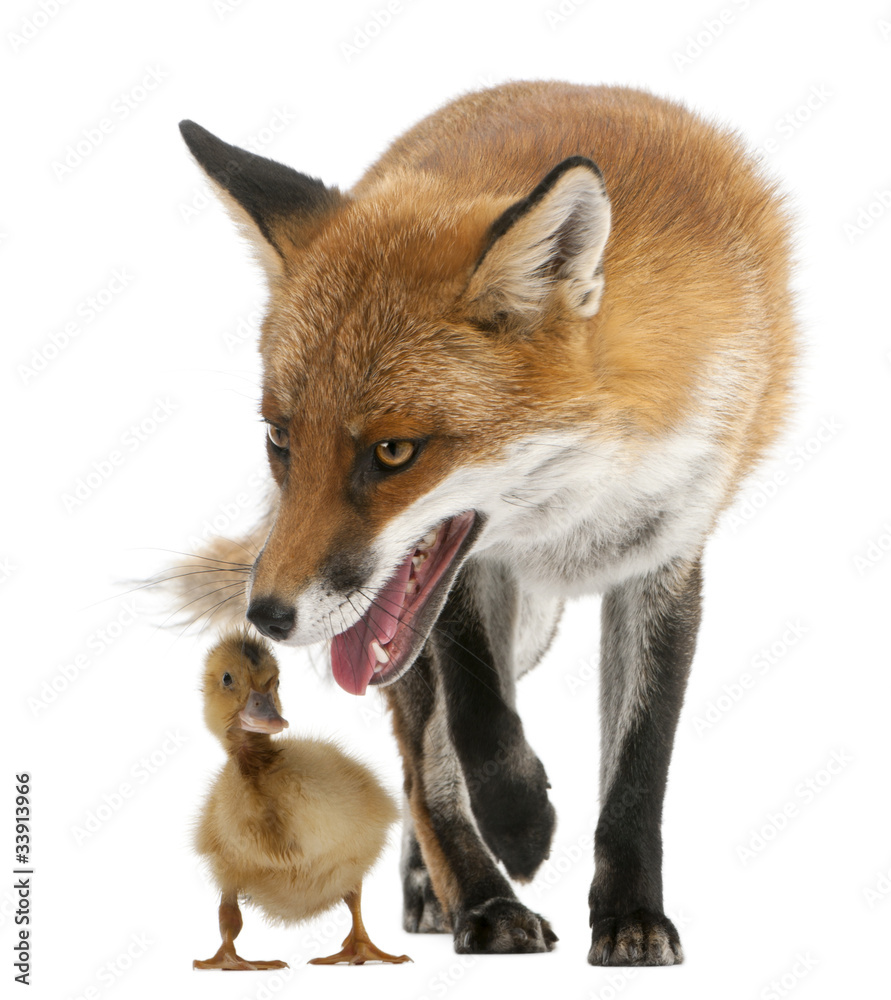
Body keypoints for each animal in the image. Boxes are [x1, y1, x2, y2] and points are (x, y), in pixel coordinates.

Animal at [174, 80, 797, 965]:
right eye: (280, 438)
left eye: (393, 451)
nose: (267, 616)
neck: (571, 509)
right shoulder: (465, 574)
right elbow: (478, 726)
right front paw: (520, 829)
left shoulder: (667, 556)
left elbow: (639, 764)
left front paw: (630, 916)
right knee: (419, 767)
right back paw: (473, 898)